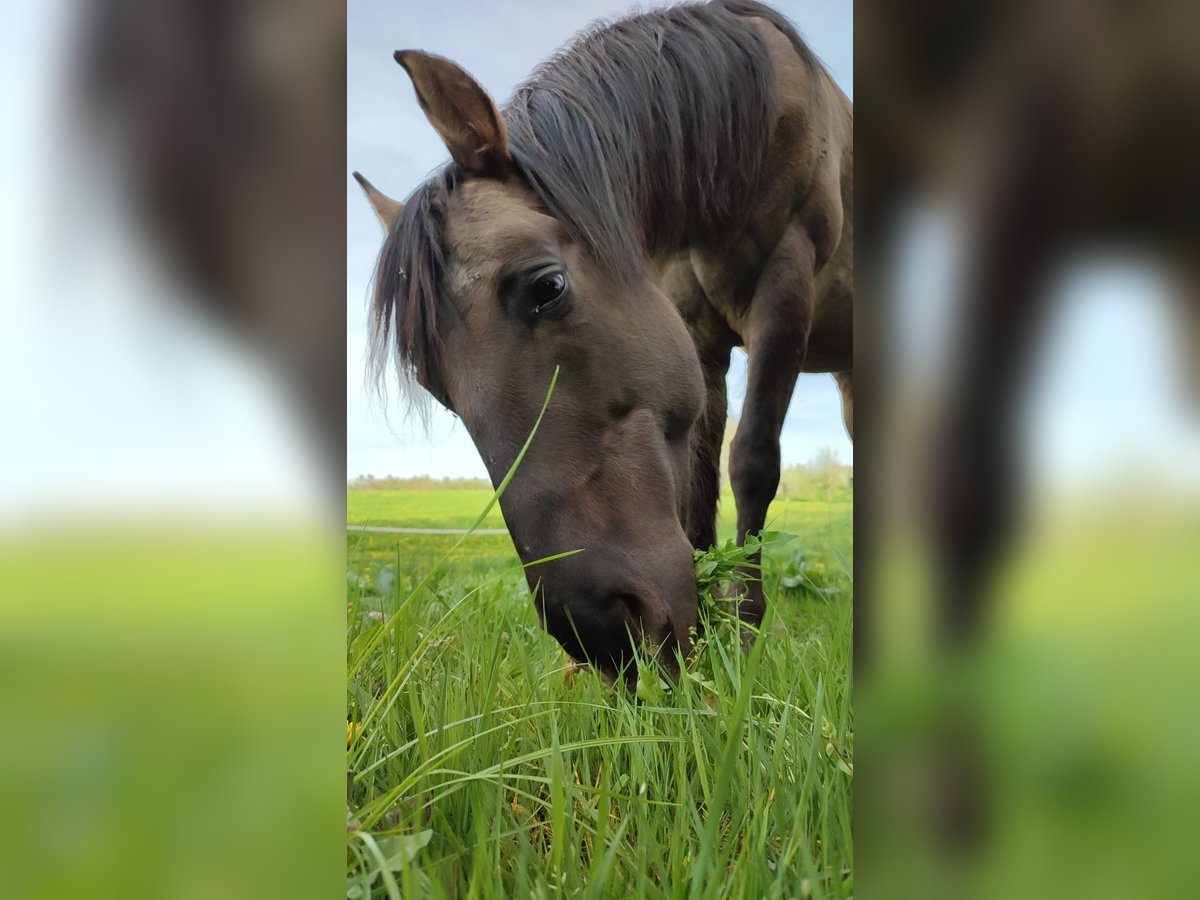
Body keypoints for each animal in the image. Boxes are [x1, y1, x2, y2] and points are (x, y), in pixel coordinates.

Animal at [356, 0, 853, 683]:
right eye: (435, 386)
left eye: (547, 286)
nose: (598, 630)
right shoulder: (692, 327)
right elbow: (699, 480)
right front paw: (708, 642)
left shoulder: (787, 278)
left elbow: (752, 461)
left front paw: (745, 631)